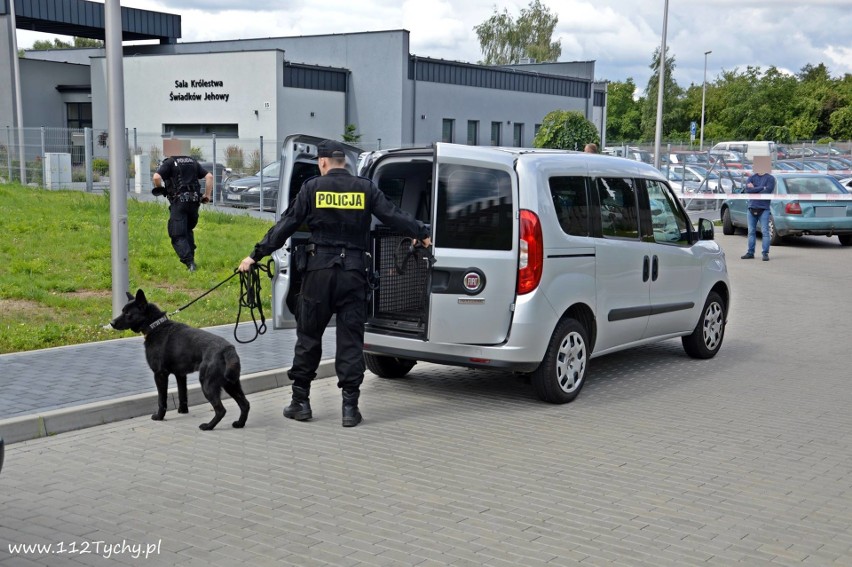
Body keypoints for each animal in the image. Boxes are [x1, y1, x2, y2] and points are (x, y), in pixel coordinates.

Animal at [110, 292, 250, 430]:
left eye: (128, 313)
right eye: (122, 311)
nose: (111, 323)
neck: (155, 326)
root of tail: (227, 349)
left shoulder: (160, 375)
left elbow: (162, 400)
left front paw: (159, 416)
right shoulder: (181, 375)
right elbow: (182, 394)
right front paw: (183, 411)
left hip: (208, 384)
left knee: (221, 410)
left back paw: (208, 426)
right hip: (231, 384)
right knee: (245, 404)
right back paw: (240, 423)